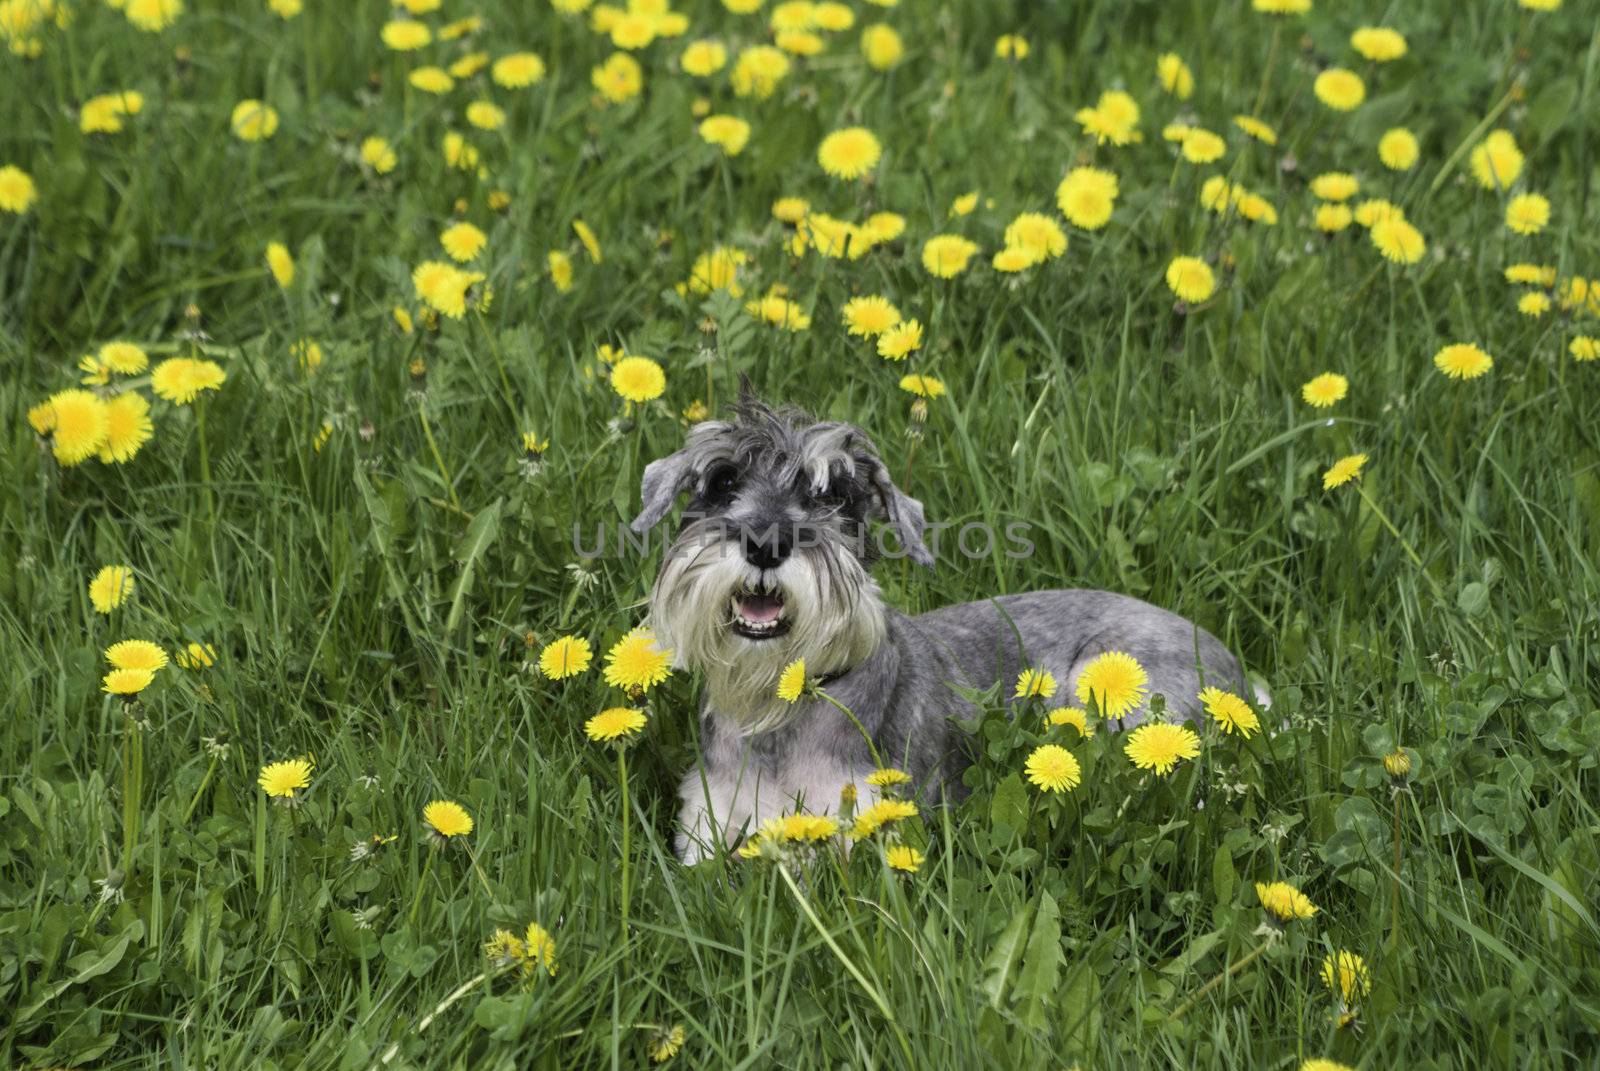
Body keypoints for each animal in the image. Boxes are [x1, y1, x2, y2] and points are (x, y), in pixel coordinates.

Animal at [630, 392, 1267, 858]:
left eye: (836, 496)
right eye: (723, 481)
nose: (766, 542)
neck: (780, 708)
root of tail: (1238, 674)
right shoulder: (707, 827)